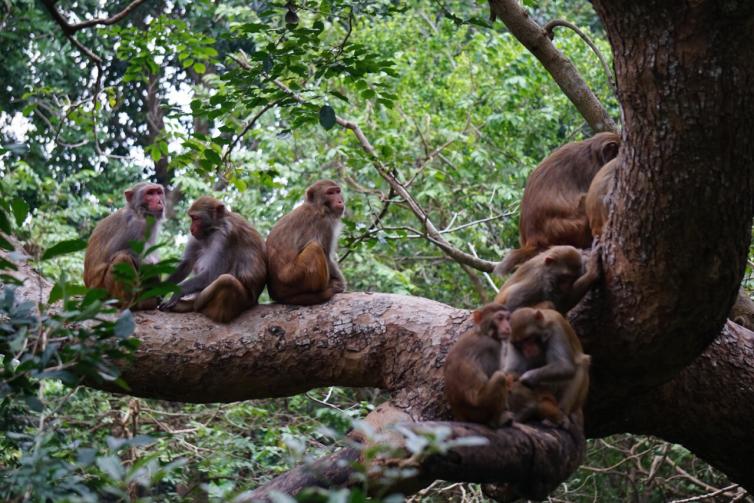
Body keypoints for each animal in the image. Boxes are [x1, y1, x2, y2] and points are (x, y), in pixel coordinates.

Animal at [157, 195, 266, 324]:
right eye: (191, 218)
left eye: (196, 218)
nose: (191, 229)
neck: (213, 229)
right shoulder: (198, 236)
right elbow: (185, 264)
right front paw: (157, 289)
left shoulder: (226, 237)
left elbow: (211, 275)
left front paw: (179, 291)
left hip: (244, 301)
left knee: (227, 281)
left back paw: (197, 307)